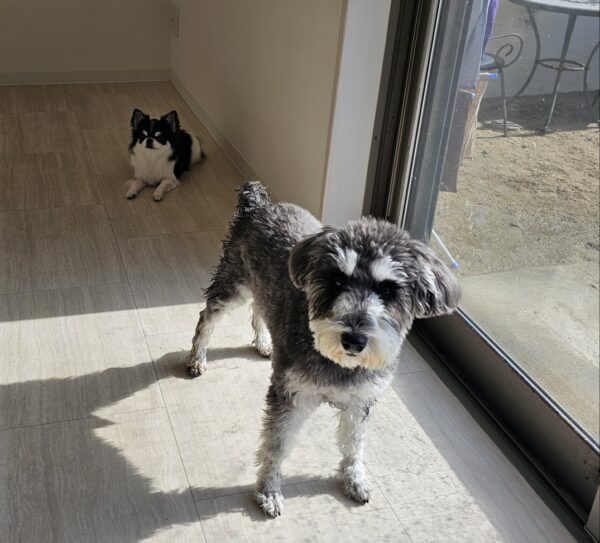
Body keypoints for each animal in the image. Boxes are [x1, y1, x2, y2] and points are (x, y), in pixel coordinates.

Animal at [187, 181, 460, 517]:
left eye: (388, 290)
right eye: (337, 280)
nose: (354, 340)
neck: (339, 362)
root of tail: (259, 204)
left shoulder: (360, 402)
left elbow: (353, 444)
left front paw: (354, 479)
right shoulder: (291, 396)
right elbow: (277, 445)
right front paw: (268, 490)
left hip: (258, 288)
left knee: (259, 309)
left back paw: (264, 343)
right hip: (233, 284)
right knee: (208, 317)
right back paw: (197, 357)